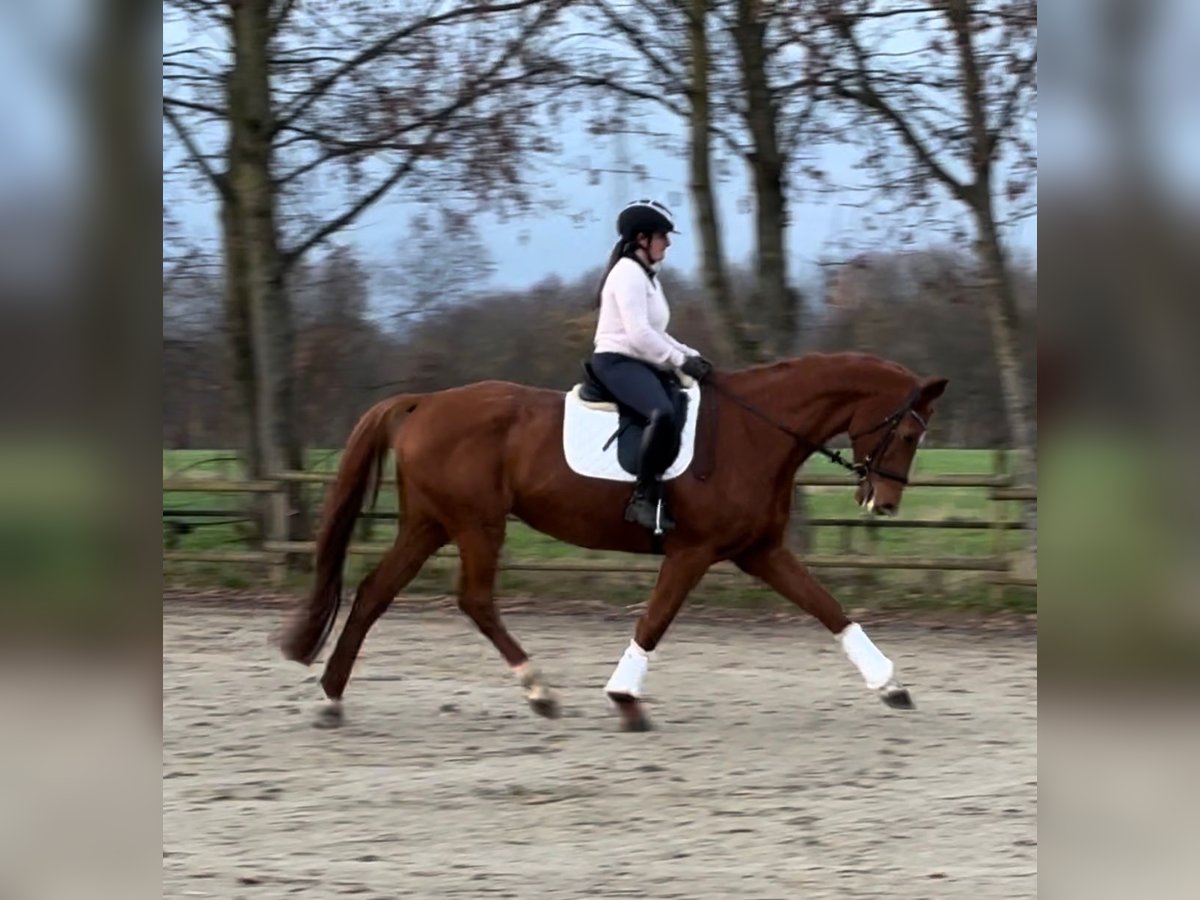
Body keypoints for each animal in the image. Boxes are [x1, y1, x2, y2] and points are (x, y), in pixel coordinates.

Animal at [278, 352, 945, 734]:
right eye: (909, 432)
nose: (884, 504)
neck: (755, 430)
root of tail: (423, 403)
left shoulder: (759, 551)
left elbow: (828, 608)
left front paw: (891, 685)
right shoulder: (693, 552)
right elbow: (654, 621)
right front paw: (625, 699)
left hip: (429, 524)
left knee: (374, 594)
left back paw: (332, 699)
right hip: (474, 524)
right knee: (473, 600)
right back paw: (539, 690)